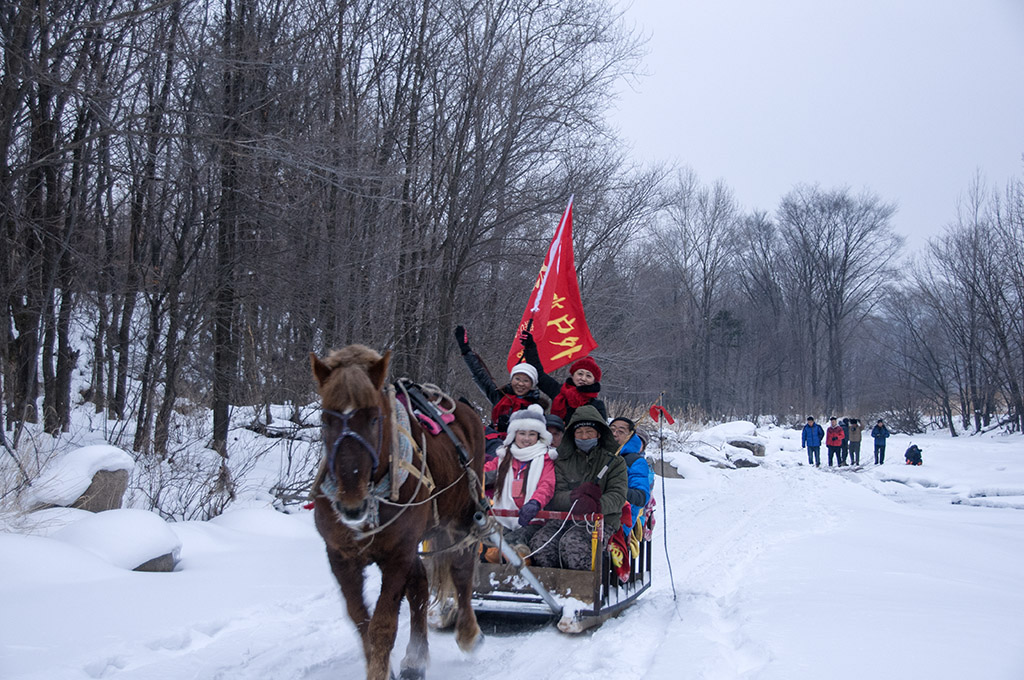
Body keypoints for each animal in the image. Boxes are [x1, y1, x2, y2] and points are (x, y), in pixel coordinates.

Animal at [307, 348, 483, 675]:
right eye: (325, 420)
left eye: (375, 418)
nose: (351, 503)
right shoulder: (341, 557)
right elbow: (361, 621)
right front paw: (382, 666)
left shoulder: (397, 554)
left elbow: (382, 625)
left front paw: (379, 671)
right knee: (420, 586)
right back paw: (416, 658)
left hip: (463, 517)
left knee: (461, 570)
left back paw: (468, 633)